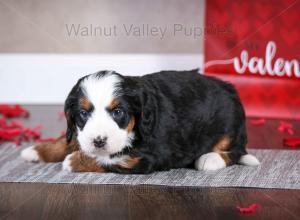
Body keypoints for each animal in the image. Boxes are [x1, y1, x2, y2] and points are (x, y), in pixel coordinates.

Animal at [21, 70, 260, 174]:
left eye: (118, 112)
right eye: (83, 113)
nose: (98, 140)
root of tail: (230, 88)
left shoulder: (148, 158)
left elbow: (110, 159)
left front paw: (74, 161)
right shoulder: (81, 132)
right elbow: (70, 139)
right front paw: (37, 150)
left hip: (231, 126)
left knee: (236, 151)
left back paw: (210, 159)